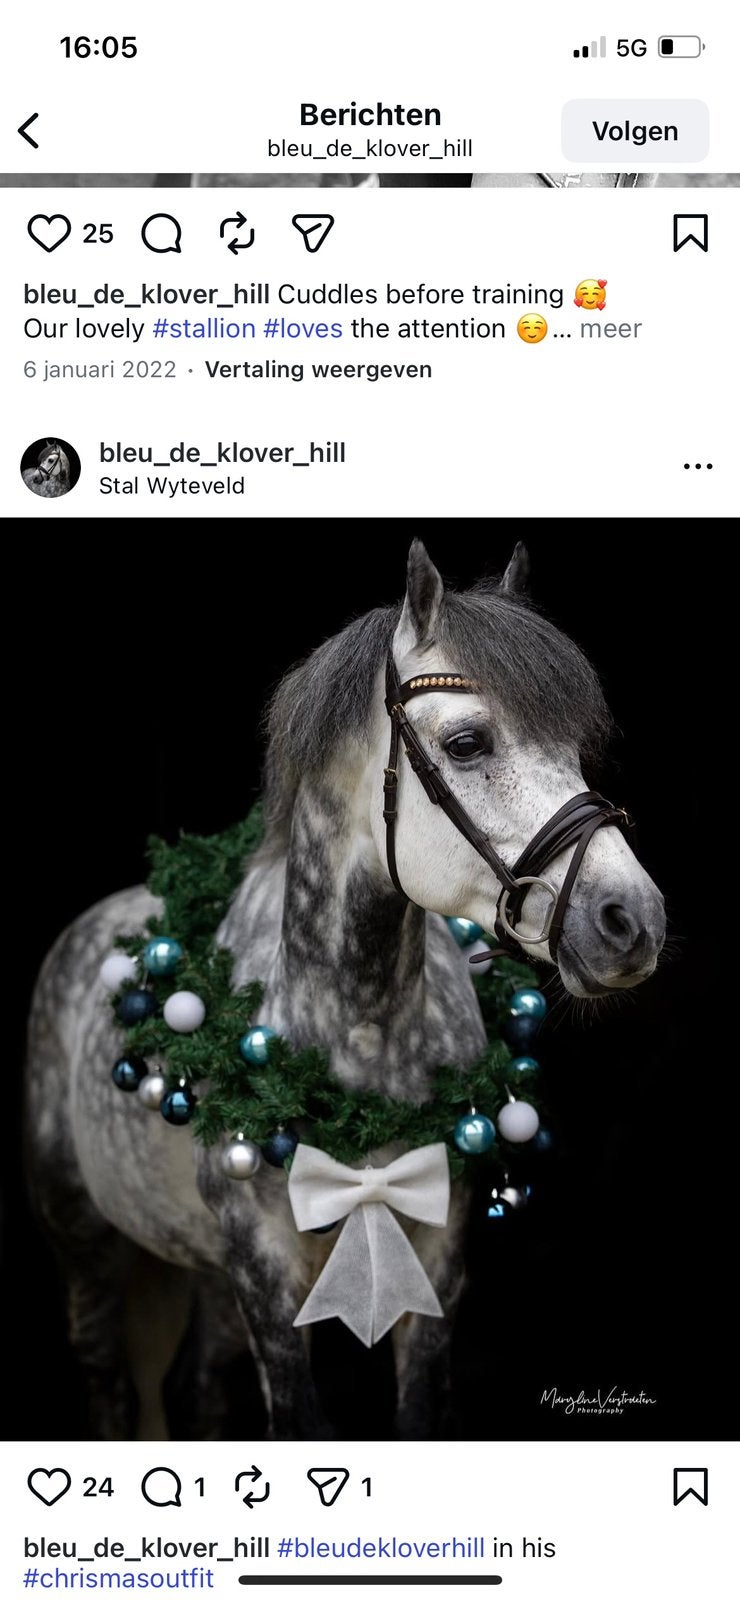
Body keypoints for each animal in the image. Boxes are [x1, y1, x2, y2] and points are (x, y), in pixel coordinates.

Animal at [25, 541, 666, 1440]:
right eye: (467, 743)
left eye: (574, 748)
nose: (632, 921)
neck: (353, 1041)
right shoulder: (264, 1276)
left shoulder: (435, 1267)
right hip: (87, 1248)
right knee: (113, 1393)